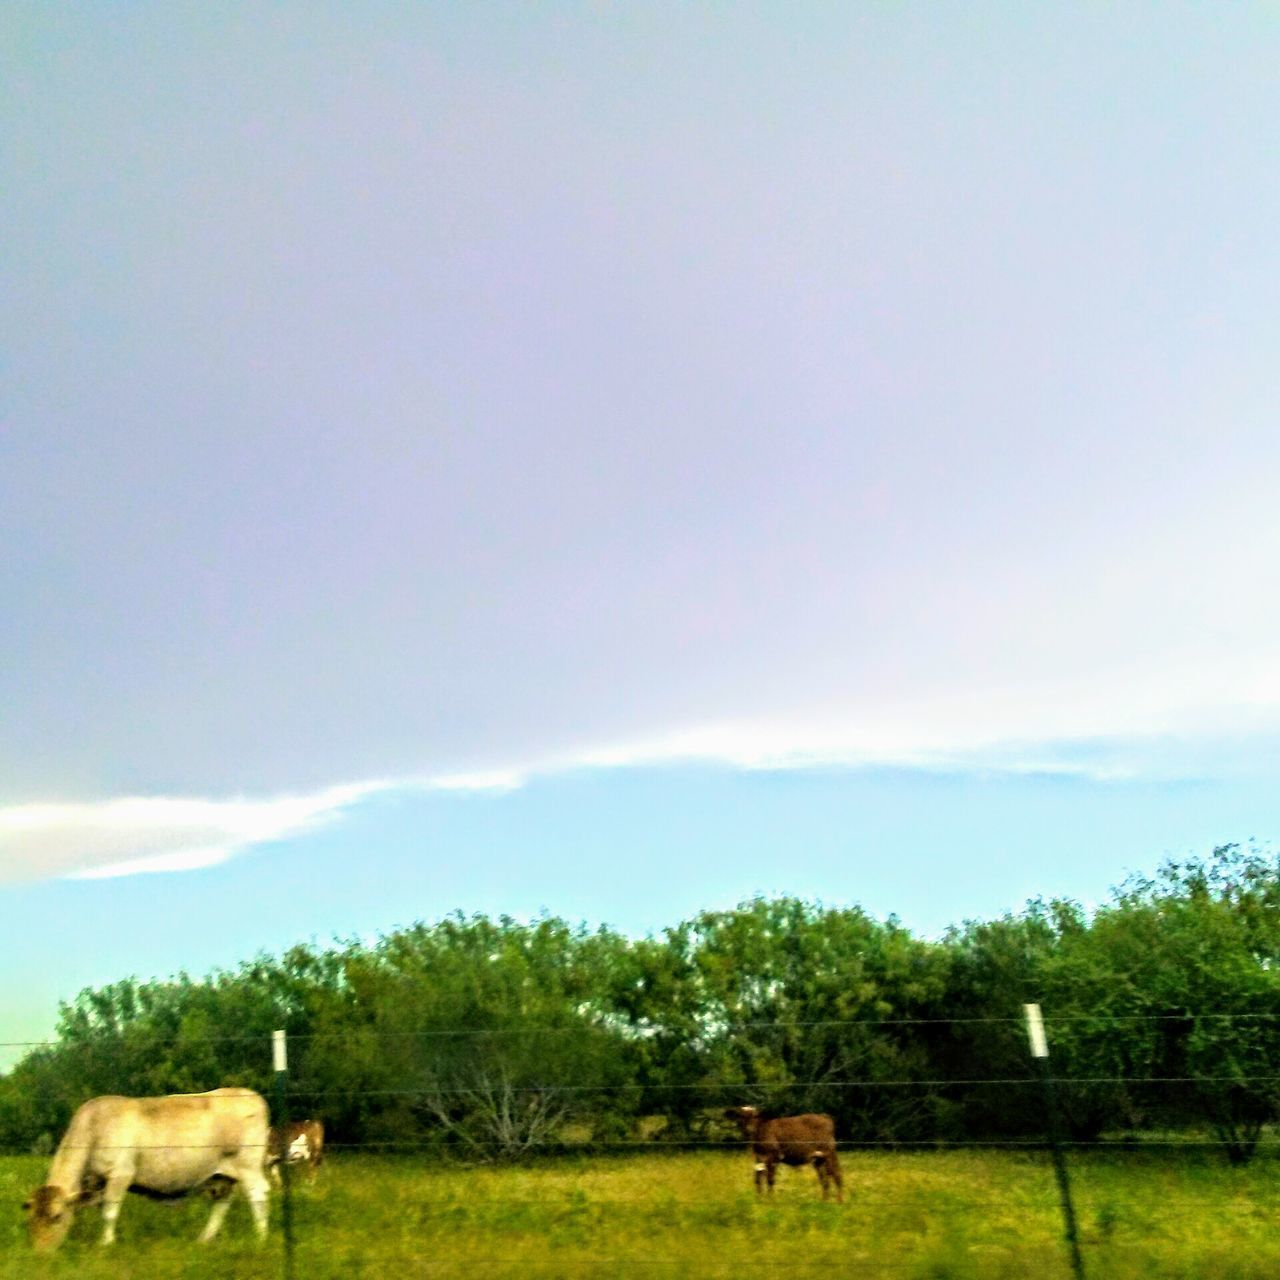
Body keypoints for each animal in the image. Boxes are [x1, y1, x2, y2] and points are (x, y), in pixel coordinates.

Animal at [21, 1085, 270, 1254]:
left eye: (57, 1216)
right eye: (31, 1219)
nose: (41, 1253)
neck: (94, 1128)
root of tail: (250, 1094)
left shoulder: (120, 1174)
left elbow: (109, 1214)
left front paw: (106, 1244)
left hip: (249, 1167)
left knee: (258, 1195)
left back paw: (260, 1237)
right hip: (222, 1176)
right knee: (221, 1205)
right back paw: (204, 1239)